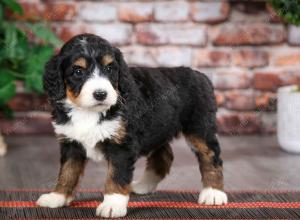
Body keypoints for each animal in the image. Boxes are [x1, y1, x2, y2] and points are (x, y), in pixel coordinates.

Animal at [35, 33, 227, 217]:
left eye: (109, 68)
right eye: (78, 71)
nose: (101, 94)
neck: (88, 112)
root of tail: (200, 75)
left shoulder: (121, 145)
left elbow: (116, 175)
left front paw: (112, 204)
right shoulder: (71, 143)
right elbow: (67, 172)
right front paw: (57, 196)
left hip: (200, 128)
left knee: (211, 156)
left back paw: (213, 193)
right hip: (158, 127)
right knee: (164, 157)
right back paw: (144, 185)